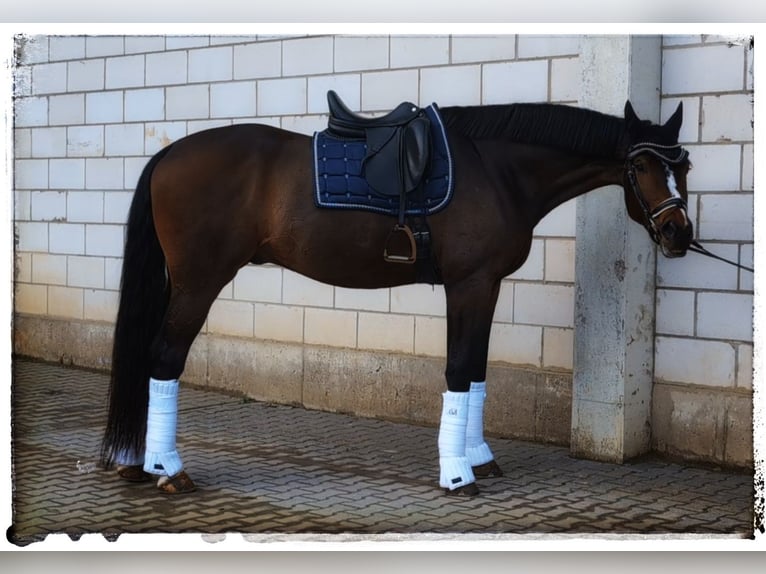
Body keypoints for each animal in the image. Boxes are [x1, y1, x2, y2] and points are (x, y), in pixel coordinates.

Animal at [100, 95, 696, 500]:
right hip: (199, 282)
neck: (495, 169)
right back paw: (169, 470)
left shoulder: (486, 286)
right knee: (164, 359)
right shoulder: (468, 283)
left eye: (683, 165)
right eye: (640, 166)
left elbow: (475, 372)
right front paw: (456, 474)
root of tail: (168, 156)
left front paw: (478, 457)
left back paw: (138, 462)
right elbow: (458, 371)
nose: (678, 235)